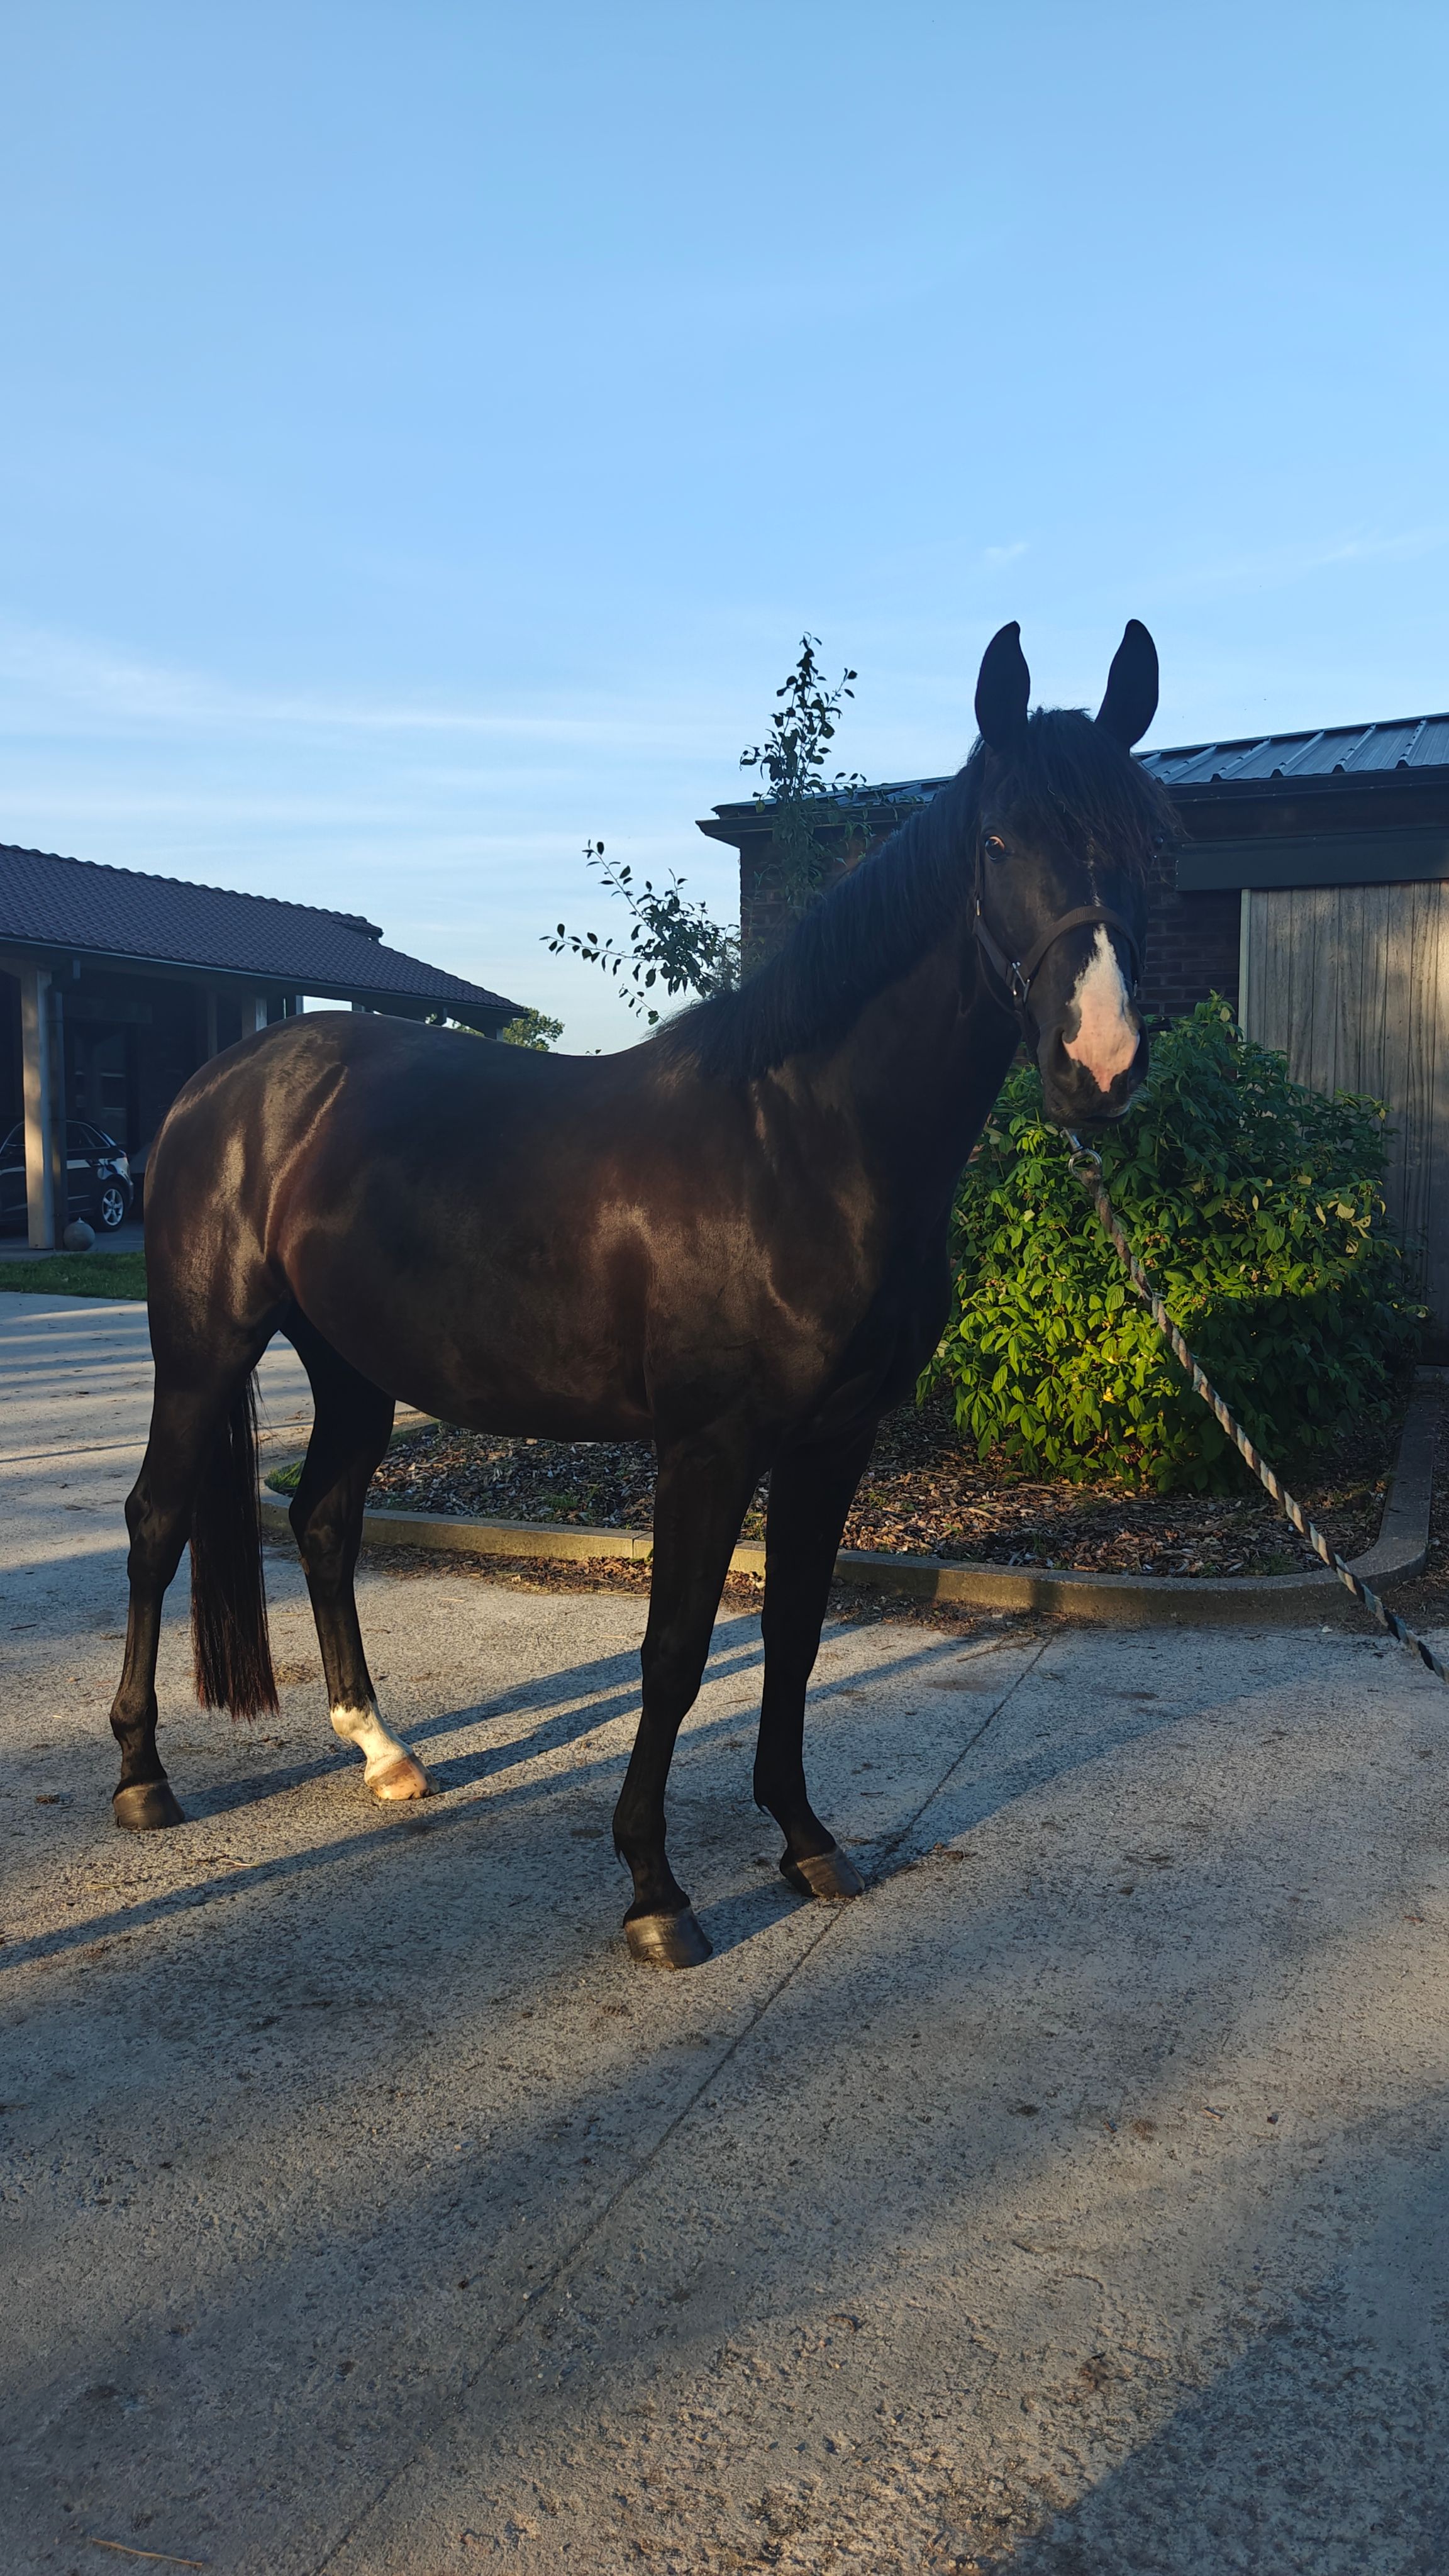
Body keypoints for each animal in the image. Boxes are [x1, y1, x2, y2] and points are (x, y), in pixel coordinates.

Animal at [107, 619, 1175, 1967]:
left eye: (1146, 843)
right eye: (998, 842)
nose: (1100, 1065)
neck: (798, 1142)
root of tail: (228, 1080)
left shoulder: (832, 1441)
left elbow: (792, 1636)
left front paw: (804, 1841)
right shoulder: (707, 1443)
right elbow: (674, 1651)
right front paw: (655, 1892)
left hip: (352, 1367)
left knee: (322, 1523)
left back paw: (382, 1754)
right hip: (203, 1346)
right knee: (155, 1524)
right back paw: (143, 1777)